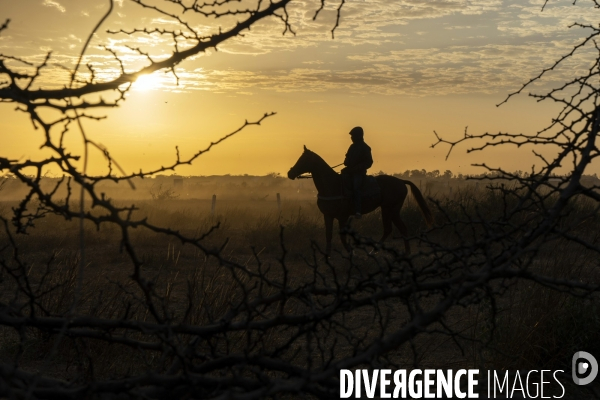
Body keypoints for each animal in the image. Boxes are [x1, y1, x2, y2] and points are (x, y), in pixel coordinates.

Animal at [286, 146, 432, 253]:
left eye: (303, 159)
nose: (290, 173)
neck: (332, 185)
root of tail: (401, 181)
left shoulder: (343, 217)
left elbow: (342, 237)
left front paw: (351, 253)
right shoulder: (328, 215)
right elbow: (329, 235)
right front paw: (327, 256)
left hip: (390, 209)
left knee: (397, 228)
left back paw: (399, 252)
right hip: (389, 210)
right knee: (393, 229)